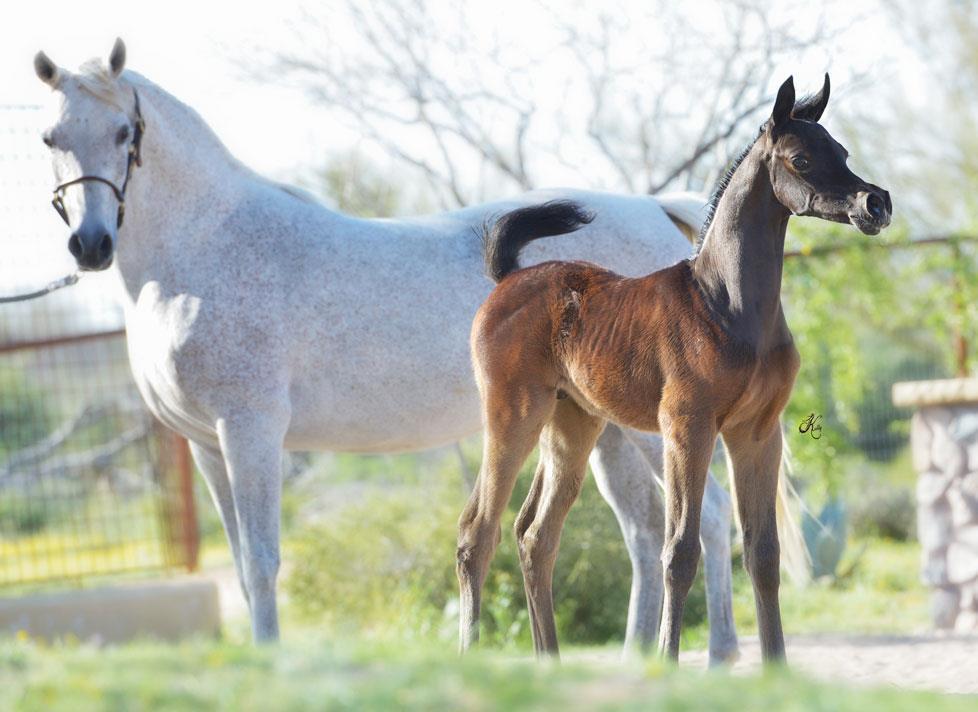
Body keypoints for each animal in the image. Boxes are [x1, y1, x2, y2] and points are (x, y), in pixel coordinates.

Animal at [32, 38, 741, 659]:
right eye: (50, 138)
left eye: (123, 133)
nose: (90, 245)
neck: (204, 249)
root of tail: (655, 210)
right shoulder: (205, 444)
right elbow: (238, 564)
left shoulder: (249, 430)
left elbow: (262, 562)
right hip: (601, 427)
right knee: (642, 533)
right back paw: (639, 659)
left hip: (647, 427)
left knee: (705, 517)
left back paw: (720, 654)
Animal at [459, 74, 892, 662]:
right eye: (801, 159)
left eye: (842, 152)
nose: (876, 202)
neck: (726, 304)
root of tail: (507, 278)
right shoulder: (688, 427)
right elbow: (680, 549)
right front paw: (667, 660)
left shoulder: (757, 433)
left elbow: (763, 553)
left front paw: (777, 668)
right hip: (512, 416)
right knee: (478, 533)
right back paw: (469, 656)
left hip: (572, 425)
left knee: (536, 536)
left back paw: (548, 662)